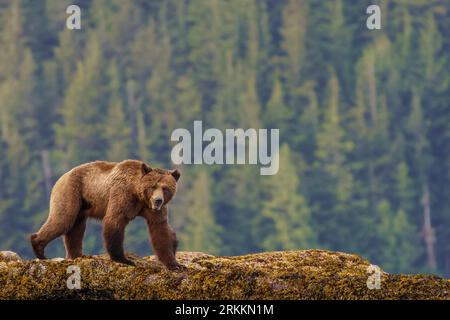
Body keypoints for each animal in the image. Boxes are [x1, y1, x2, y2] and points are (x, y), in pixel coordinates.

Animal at [29, 160, 183, 270]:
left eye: (165, 188)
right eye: (153, 186)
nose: (158, 200)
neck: (138, 195)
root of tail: (63, 176)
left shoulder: (152, 210)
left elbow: (160, 230)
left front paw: (175, 264)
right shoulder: (122, 194)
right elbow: (114, 221)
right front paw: (124, 259)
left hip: (82, 203)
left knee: (76, 228)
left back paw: (77, 255)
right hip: (71, 191)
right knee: (63, 219)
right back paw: (39, 248)